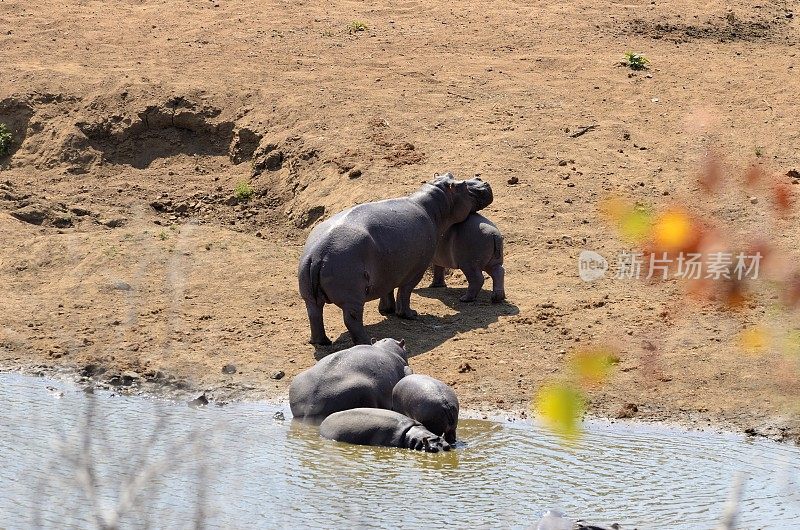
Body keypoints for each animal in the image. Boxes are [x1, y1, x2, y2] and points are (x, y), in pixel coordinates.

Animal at [296, 173, 490, 344]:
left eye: (450, 174)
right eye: (463, 185)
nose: (484, 182)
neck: (435, 206)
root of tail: (319, 254)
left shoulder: (388, 268)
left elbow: (387, 290)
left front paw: (386, 310)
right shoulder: (416, 270)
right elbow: (405, 292)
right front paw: (410, 314)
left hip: (308, 295)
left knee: (314, 315)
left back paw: (322, 342)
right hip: (351, 295)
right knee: (351, 319)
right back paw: (368, 341)